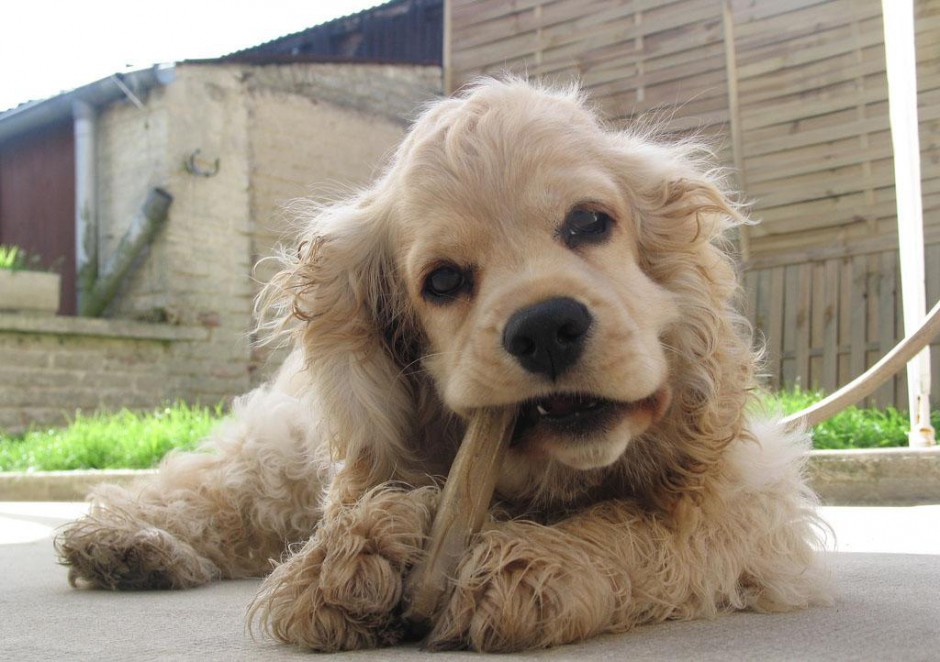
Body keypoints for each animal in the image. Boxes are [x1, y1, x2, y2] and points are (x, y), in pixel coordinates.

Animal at [55, 78, 828, 652]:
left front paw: (536, 565)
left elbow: (650, 529)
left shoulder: (747, 501)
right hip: (279, 450)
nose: (545, 328)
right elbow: (359, 510)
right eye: (444, 280)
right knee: (209, 488)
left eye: (590, 222)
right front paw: (359, 552)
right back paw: (125, 542)